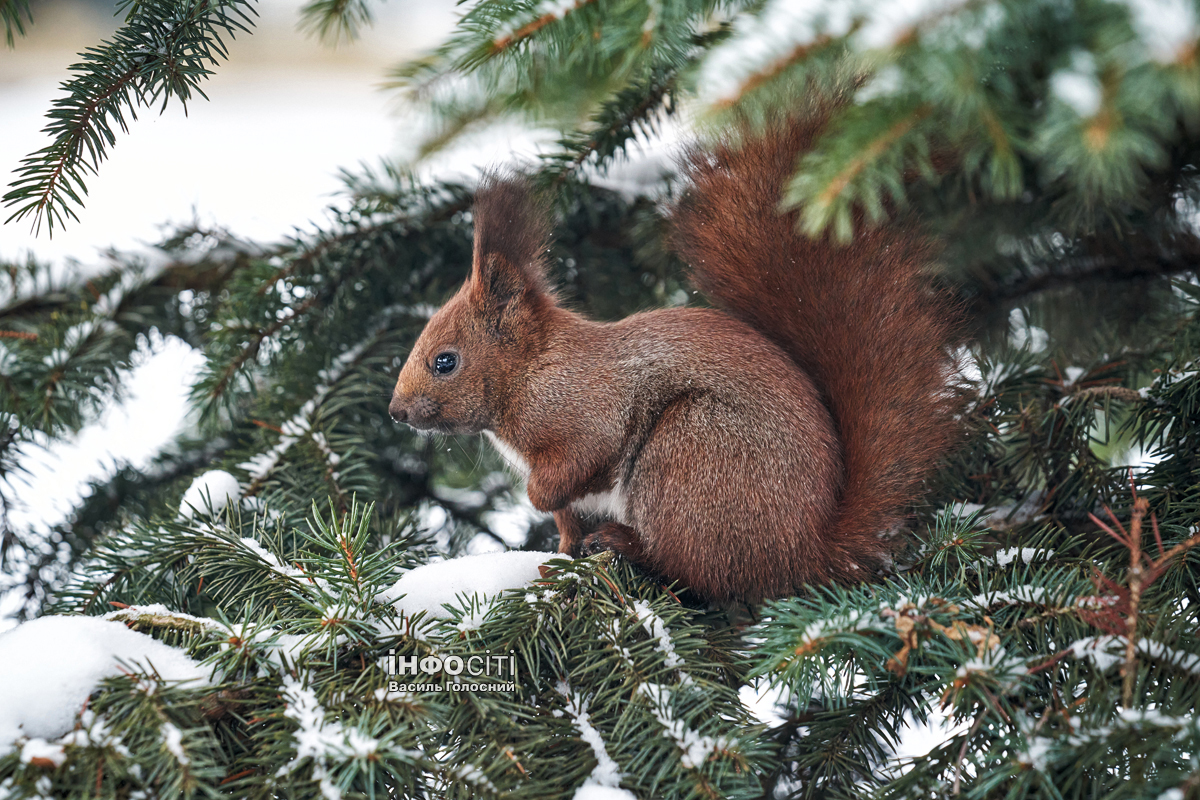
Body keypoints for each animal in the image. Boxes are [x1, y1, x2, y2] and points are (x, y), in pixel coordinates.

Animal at [388, 112, 960, 599]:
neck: (532, 370)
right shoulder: (573, 494)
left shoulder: (585, 409)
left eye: (445, 361)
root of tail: (803, 551)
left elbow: (578, 462)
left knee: (695, 570)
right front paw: (555, 562)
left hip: (690, 451)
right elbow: (568, 523)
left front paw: (538, 500)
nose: (395, 413)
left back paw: (625, 544)